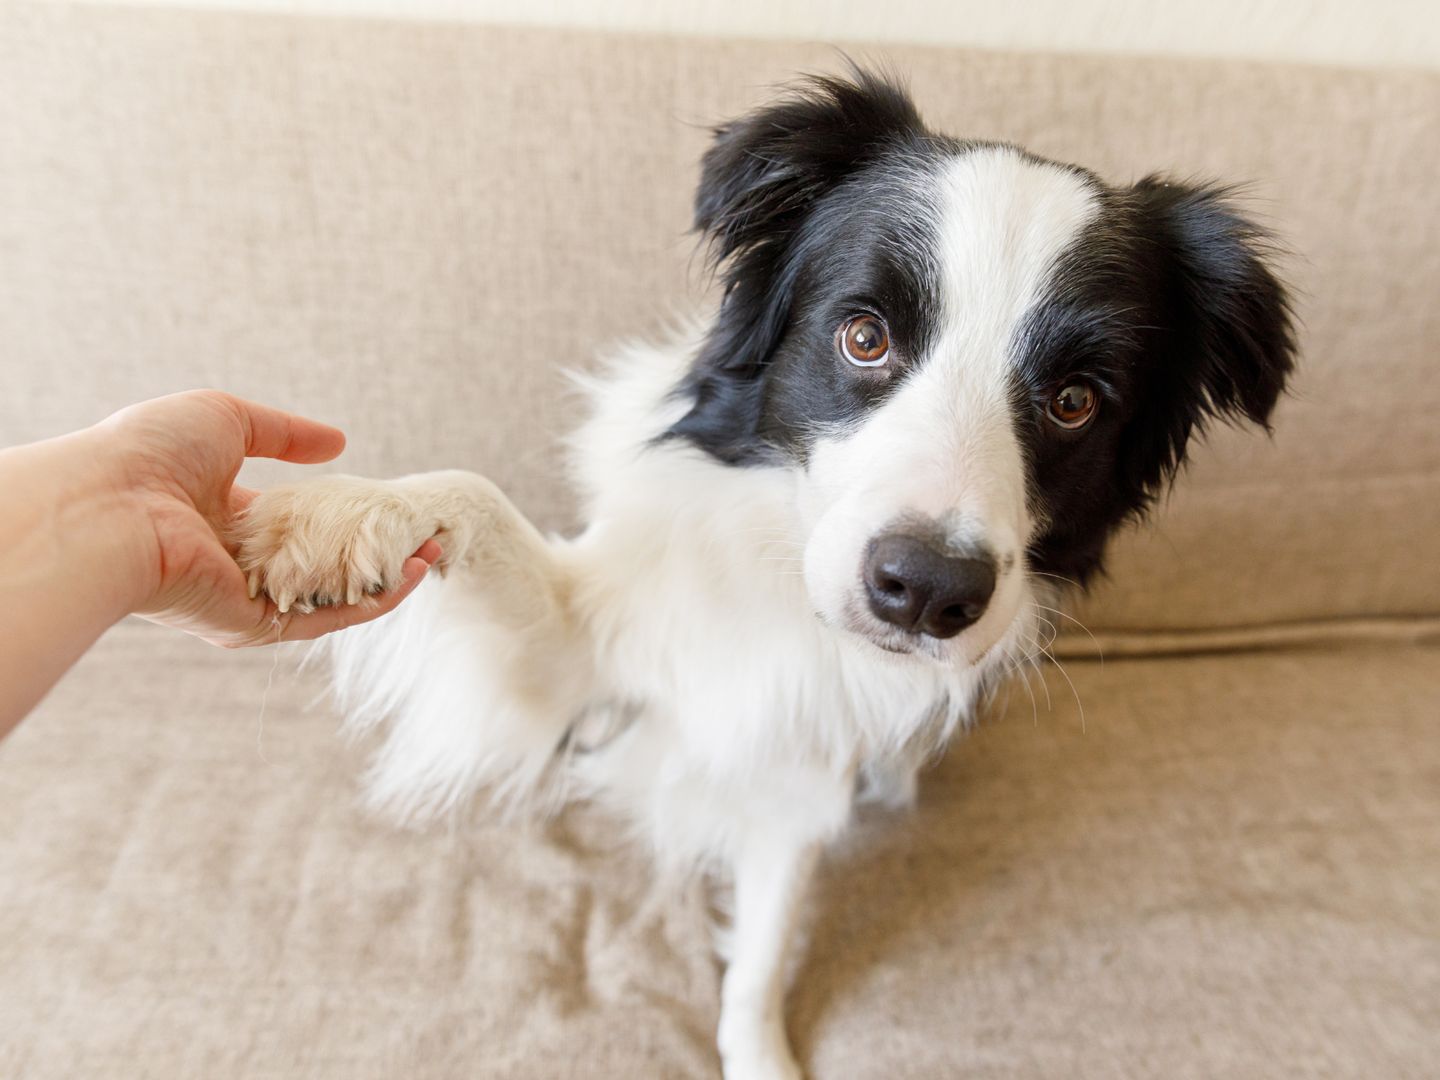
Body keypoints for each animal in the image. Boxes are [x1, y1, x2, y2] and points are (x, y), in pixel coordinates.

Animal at [233, 67, 1296, 1080]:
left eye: (1077, 401)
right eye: (864, 336)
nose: (926, 590)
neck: (787, 591)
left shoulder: (804, 764)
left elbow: (766, 941)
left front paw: (757, 1051)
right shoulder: (581, 653)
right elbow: (474, 498)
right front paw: (335, 515)